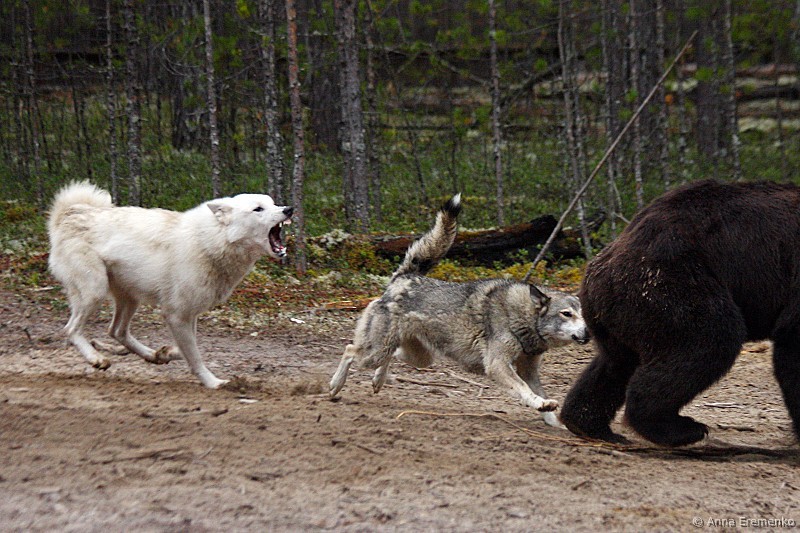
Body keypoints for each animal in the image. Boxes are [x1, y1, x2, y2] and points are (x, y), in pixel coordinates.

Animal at [47, 181, 293, 389]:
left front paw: (167, 353)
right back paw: (97, 359)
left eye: (273, 203)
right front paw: (213, 382)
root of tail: (68, 214)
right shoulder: (176, 315)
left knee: (116, 331)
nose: (289, 209)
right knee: (71, 329)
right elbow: (195, 356)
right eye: (258, 209)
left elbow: (189, 349)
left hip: (130, 299)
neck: (211, 241)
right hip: (95, 292)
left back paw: (153, 355)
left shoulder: (189, 315)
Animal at [329, 194, 590, 427]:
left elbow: (541, 396)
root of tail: (403, 278)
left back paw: (377, 381)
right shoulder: (497, 365)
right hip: (377, 353)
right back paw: (334, 386)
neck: (522, 318)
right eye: (567, 314)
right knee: (350, 350)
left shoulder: (529, 370)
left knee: (392, 356)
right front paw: (539, 404)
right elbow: (524, 389)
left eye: (583, 314)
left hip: (419, 358)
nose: (588, 333)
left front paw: (554, 420)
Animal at [560, 179, 800, 447]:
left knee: (615, 363)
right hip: (669, 282)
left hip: (618, 311)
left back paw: (588, 424)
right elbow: (792, 344)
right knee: (708, 340)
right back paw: (680, 428)